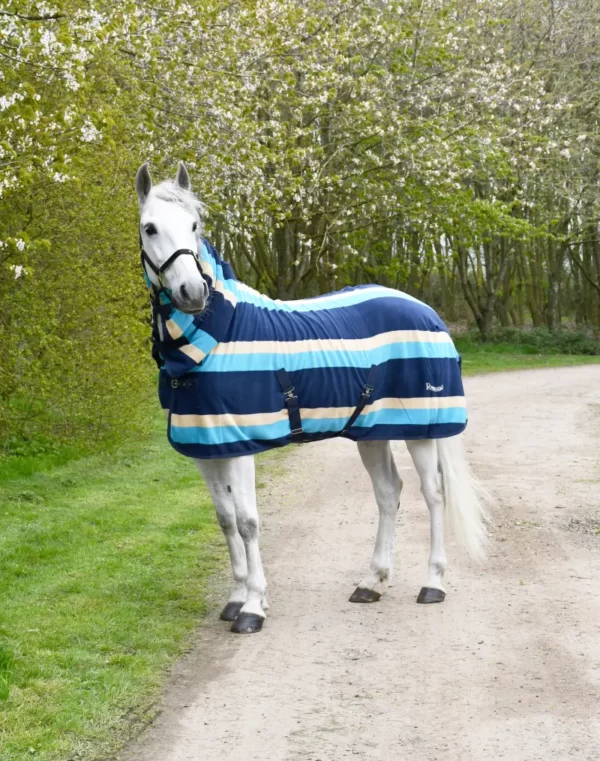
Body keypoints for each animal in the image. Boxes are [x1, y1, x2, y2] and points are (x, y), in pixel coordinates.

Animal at [136, 163, 488, 632]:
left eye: (194, 225)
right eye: (150, 227)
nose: (192, 293)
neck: (215, 336)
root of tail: (427, 312)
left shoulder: (240, 445)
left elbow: (247, 522)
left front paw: (253, 607)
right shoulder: (206, 448)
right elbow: (225, 521)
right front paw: (235, 598)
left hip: (423, 429)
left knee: (433, 494)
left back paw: (433, 584)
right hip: (373, 431)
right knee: (388, 493)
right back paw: (371, 583)